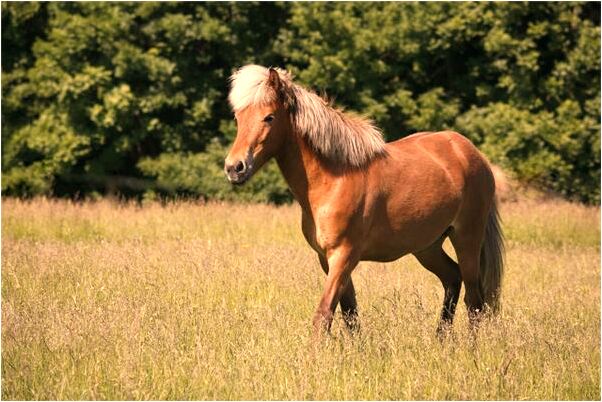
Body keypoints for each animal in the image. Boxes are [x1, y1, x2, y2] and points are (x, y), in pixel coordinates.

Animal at [224, 65, 502, 336]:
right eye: (238, 117)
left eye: (269, 117)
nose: (234, 167)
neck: (334, 179)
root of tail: (471, 153)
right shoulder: (328, 259)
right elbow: (350, 316)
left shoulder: (344, 256)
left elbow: (323, 315)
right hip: (427, 246)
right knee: (453, 279)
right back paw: (441, 340)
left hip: (466, 238)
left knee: (474, 302)